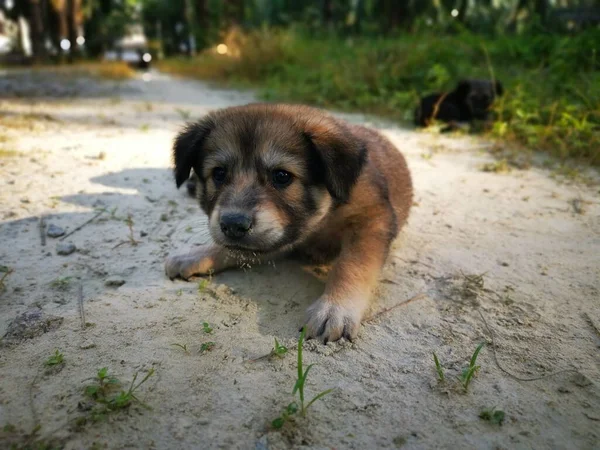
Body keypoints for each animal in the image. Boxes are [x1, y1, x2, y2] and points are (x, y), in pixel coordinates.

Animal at [166, 103, 414, 342]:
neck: (325, 213)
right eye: (218, 173)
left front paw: (335, 308)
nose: (233, 225)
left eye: (282, 176)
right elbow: (234, 248)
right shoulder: (281, 238)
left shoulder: (371, 219)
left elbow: (352, 264)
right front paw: (197, 254)